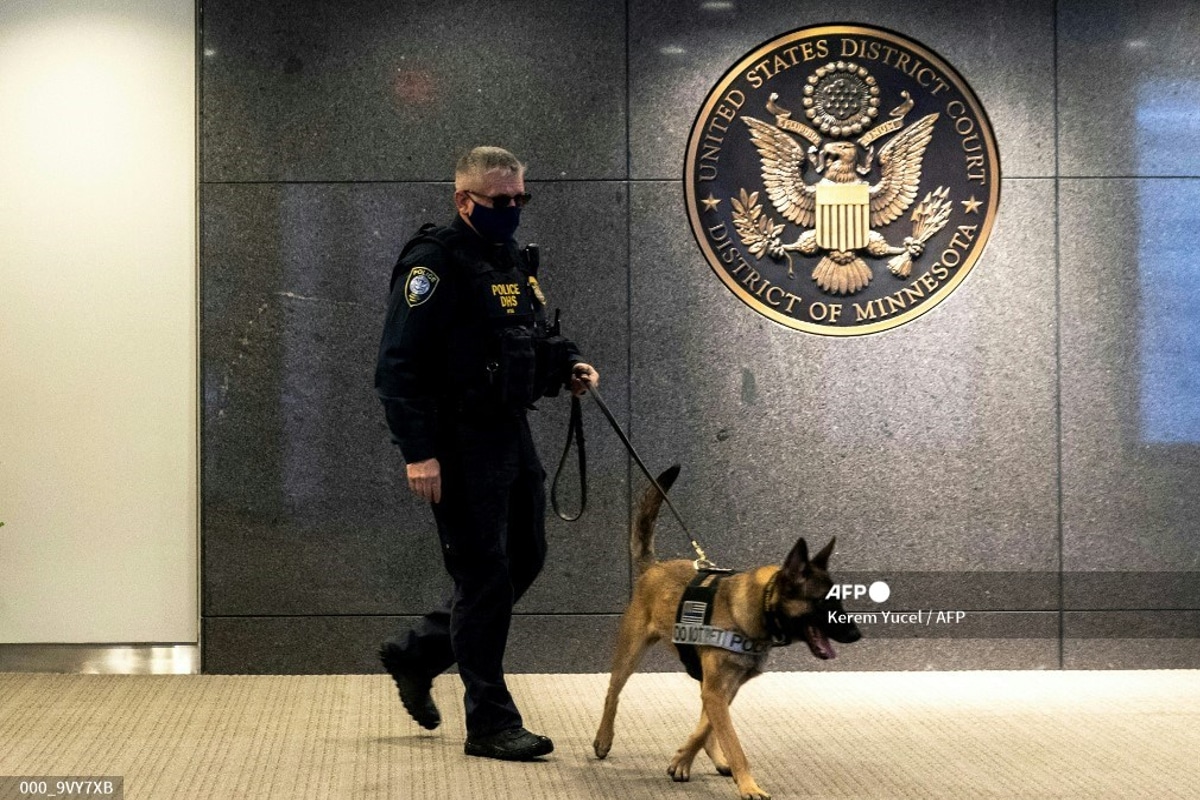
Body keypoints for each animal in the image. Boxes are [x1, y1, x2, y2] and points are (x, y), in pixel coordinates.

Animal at [592, 465, 864, 796]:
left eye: (840, 600)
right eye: (826, 603)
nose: (856, 635)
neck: (759, 606)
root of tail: (654, 567)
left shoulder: (726, 687)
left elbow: (708, 728)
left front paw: (682, 760)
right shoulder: (717, 690)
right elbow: (732, 742)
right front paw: (748, 785)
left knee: (704, 720)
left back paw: (712, 760)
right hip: (631, 654)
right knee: (612, 693)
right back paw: (603, 739)